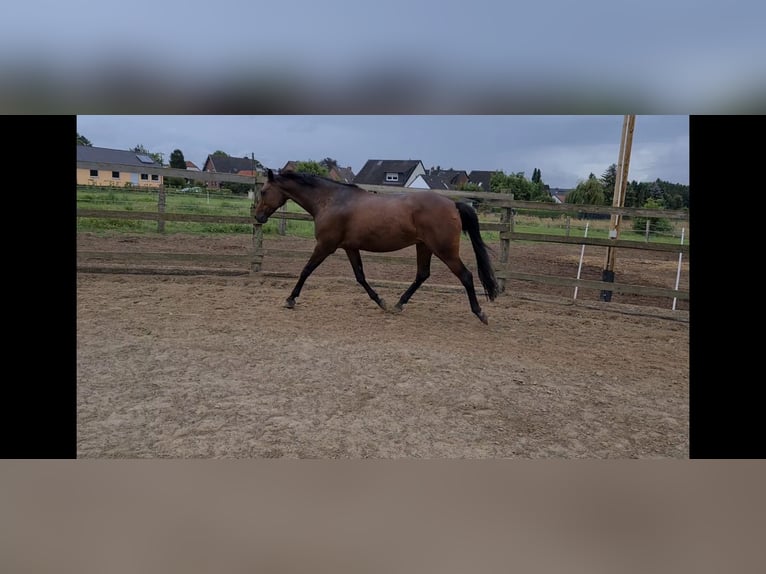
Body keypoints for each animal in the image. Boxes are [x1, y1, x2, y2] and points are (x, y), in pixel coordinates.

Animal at [253, 169, 500, 324]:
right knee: (422, 274)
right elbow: (360, 276)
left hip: (445, 250)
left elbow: (306, 270)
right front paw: (381, 301)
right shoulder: (350, 248)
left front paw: (290, 299)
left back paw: (480, 313)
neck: (331, 200)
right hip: (424, 247)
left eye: (263, 191)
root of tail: (453, 204)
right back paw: (398, 304)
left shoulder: (325, 246)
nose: (258, 217)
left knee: (466, 276)